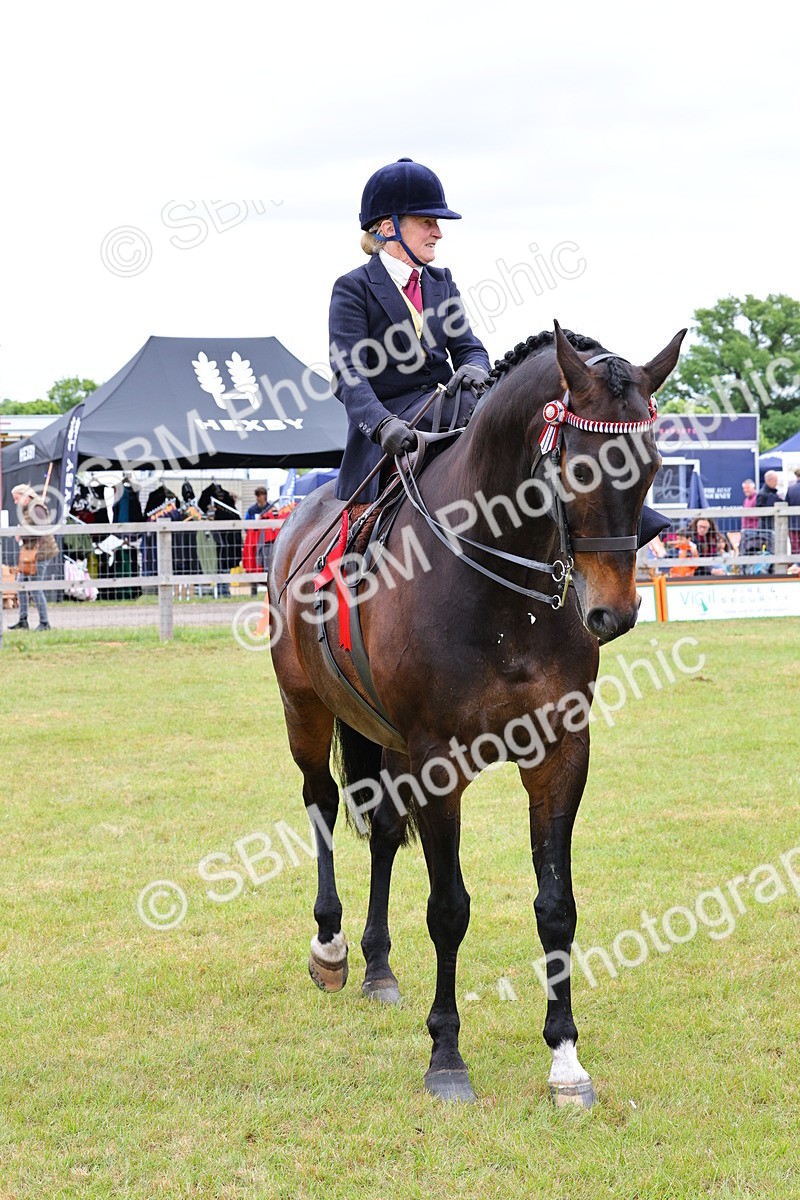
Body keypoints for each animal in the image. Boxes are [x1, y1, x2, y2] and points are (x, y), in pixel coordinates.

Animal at [268, 321, 686, 1105]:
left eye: (651, 466)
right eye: (578, 468)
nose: (612, 614)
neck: (504, 591)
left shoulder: (560, 753)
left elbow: (556, 905)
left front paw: (566, 1058)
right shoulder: (439, 761)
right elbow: (449, 908)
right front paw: (446, 1057)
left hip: (386, 740)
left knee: (381, 831)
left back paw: (377, 965)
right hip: (304, 709)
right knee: (322, 805)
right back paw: (331, 948)